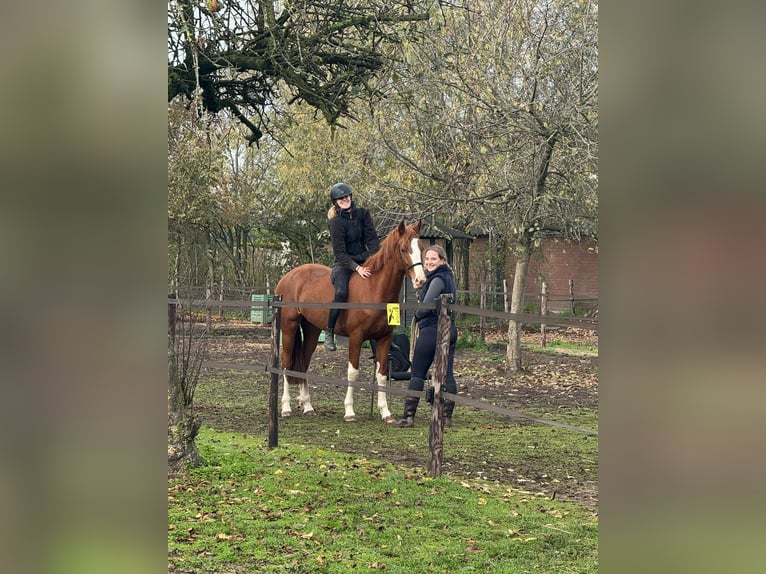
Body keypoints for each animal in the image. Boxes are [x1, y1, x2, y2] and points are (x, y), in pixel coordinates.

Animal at [274, 220, 426, 422]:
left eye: (421, 248)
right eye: (403, 249)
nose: (420, 280)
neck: (373, 289)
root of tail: (288, 277)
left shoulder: (384, 339)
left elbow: (382, 374)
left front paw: (385, 412)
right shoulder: (356, 337)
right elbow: (353, 373)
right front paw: (349, 411)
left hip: (312, 330)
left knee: (303, 364)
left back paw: (307, 406)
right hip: (289, 328)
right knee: (286, 363)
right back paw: (286, 407)